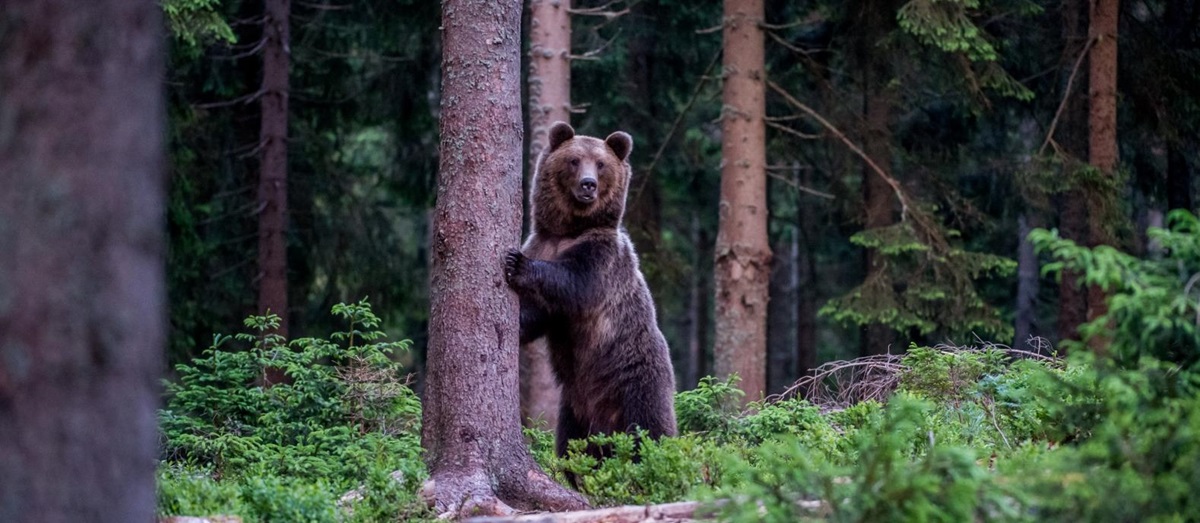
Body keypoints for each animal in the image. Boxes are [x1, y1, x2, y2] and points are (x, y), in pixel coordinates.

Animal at [504, 121, 678, 463]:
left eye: (601, 164)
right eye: (574, 161)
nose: (588, 185)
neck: (567, 232)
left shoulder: (603, 257)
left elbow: (576, 284)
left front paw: (517, 264)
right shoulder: (542, 243)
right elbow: (537, 313)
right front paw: (516, 322)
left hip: (635, 381)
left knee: (650, 429)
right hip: (574, 407)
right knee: (570, 445)